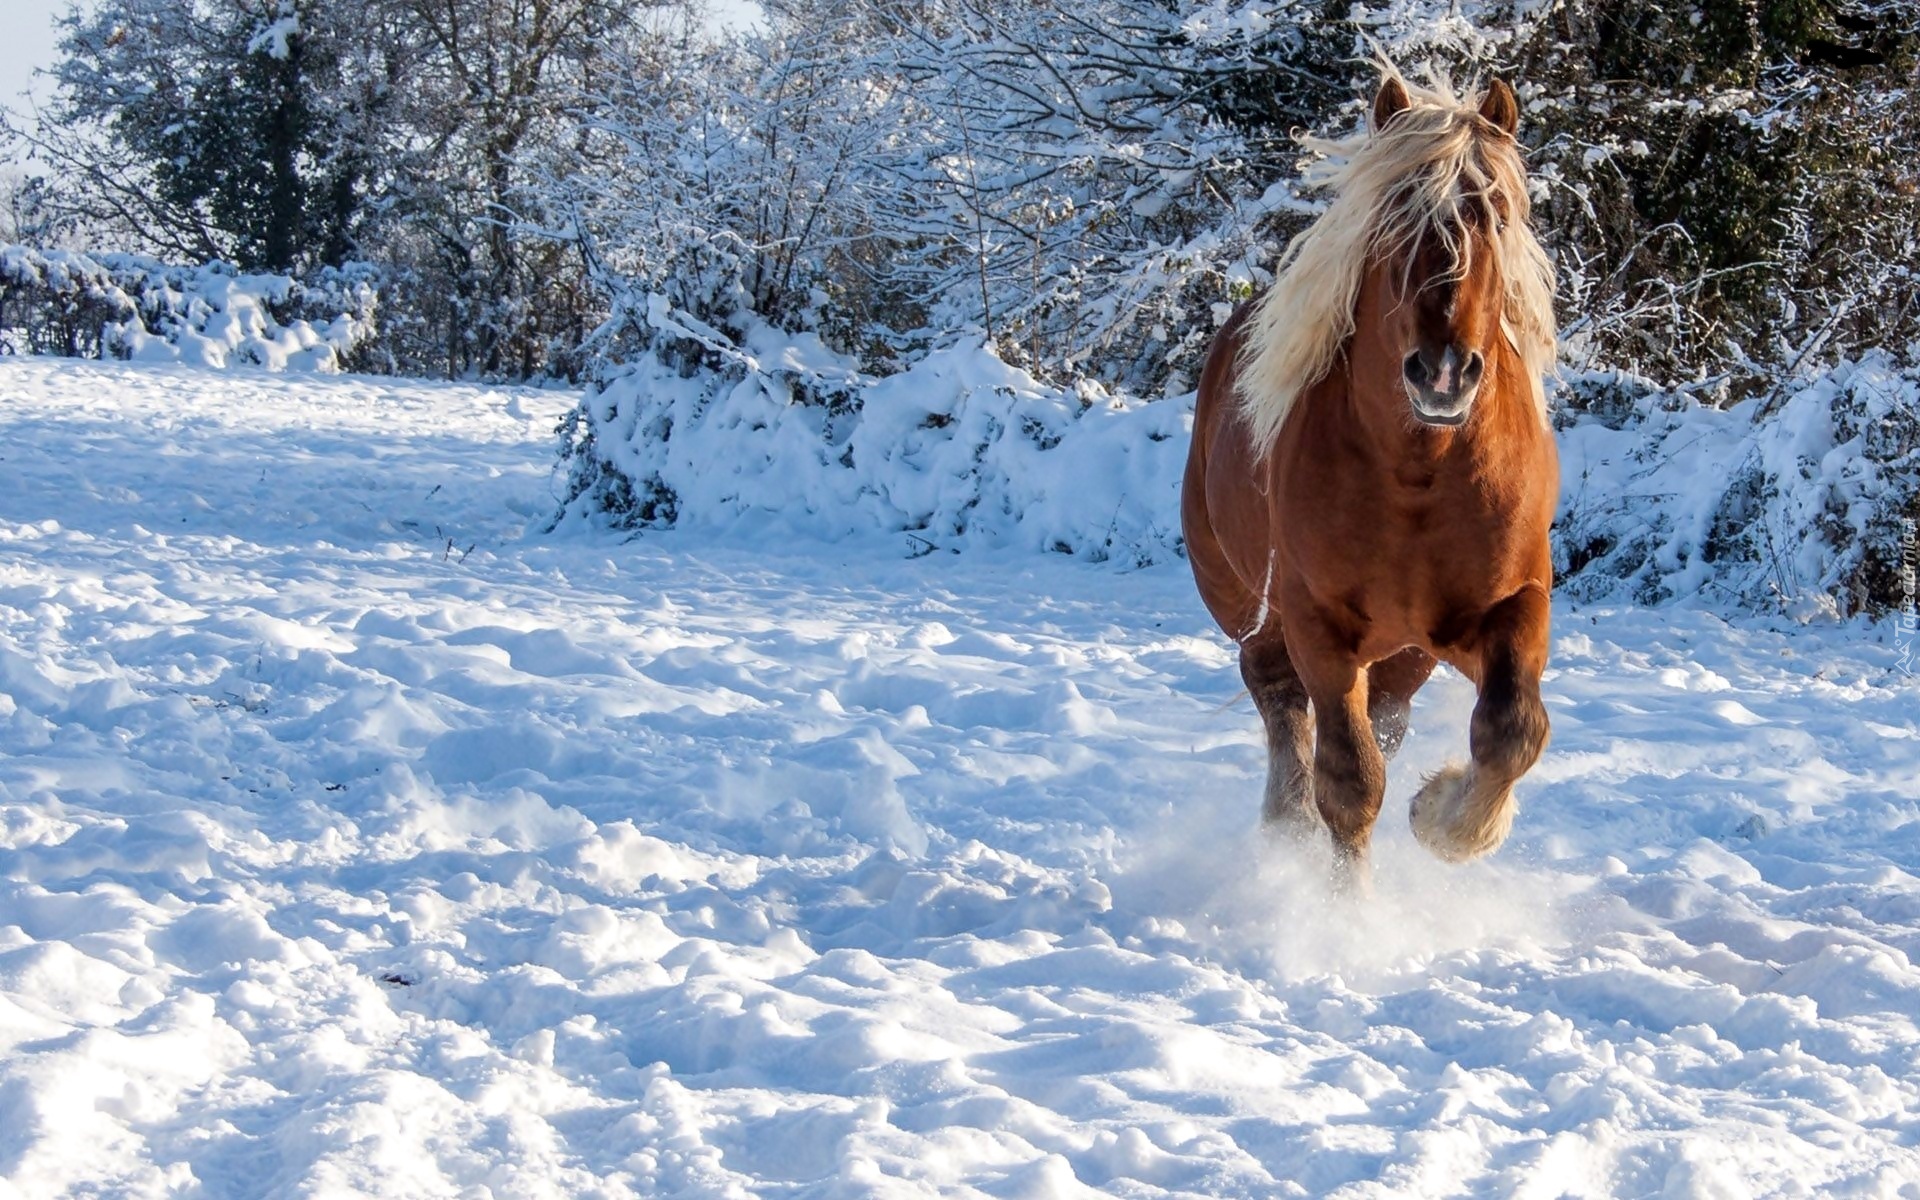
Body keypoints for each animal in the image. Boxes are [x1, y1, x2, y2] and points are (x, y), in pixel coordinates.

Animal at [1182, 67, 1559, 890]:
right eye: (1394, 217)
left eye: (1497, 215)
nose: (1442, 371)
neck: (1419, 475)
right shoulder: (1319, 626)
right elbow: (1349, 783)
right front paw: (1344, 910)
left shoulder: (1513, 603)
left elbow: (1511, 731)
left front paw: (1444, 817)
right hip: (1253, 609)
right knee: (1279, 701)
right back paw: (1286, 827)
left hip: (1406, 651)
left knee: (1385, 720)